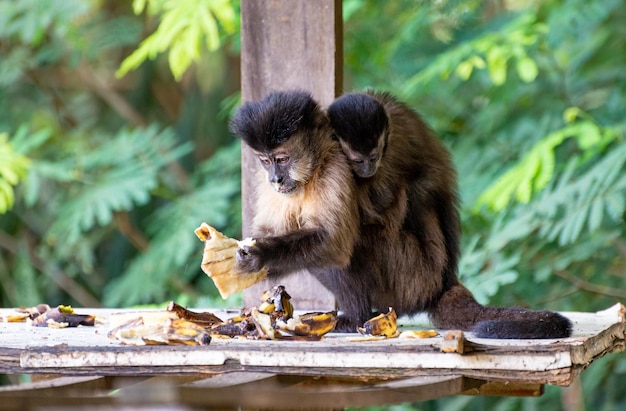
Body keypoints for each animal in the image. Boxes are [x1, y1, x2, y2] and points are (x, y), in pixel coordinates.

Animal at [326, 91, 572, 340]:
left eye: (373, 157)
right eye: (359, 160)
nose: (367, 168)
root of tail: (444, 281)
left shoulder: (397, 137)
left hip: (410, 276)